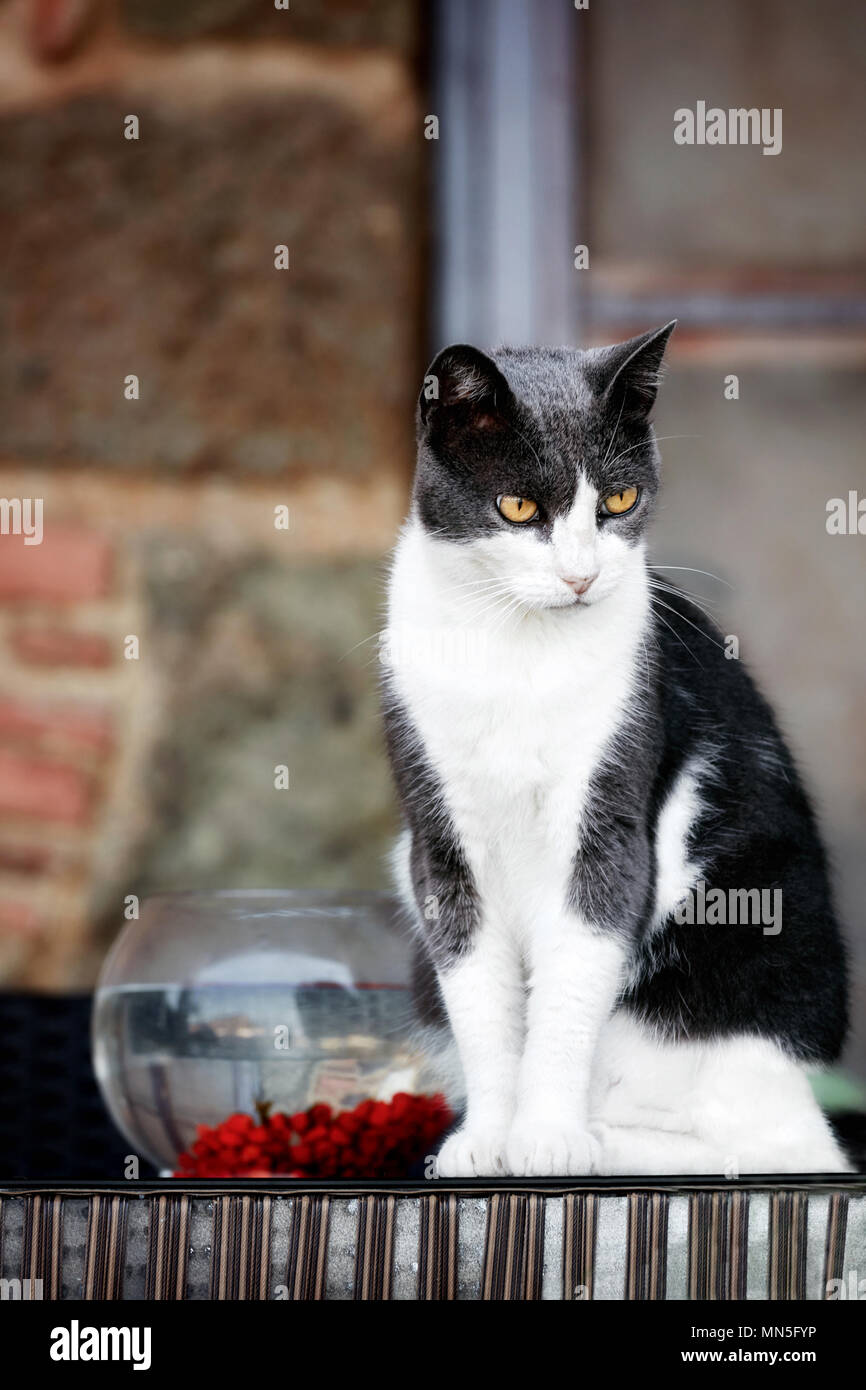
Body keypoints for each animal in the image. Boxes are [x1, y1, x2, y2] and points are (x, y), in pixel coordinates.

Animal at [383, 322, 850, 1173]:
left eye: (619, 502)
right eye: (519, 506)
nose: (580, 576)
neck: (517, 649)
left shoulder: (608, 829)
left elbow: (569, 989)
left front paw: (547, 1138)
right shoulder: (438, 846)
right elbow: (480, 1002)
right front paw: (488, 1139)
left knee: (770, 1147)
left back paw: (607, 1140)